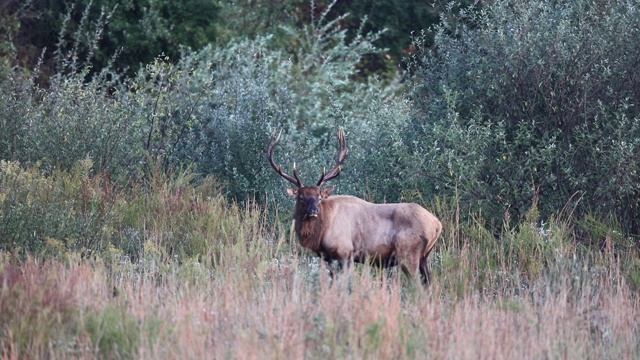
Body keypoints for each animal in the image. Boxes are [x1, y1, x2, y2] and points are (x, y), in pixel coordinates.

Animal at [264, 129, 440, 284]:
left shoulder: (344, 252)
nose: (313, 211)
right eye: (301, 197)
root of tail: (437, 224)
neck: (321, 232)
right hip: (424, 257)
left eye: (319, 197)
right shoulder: (329, 258)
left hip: (408, 253)